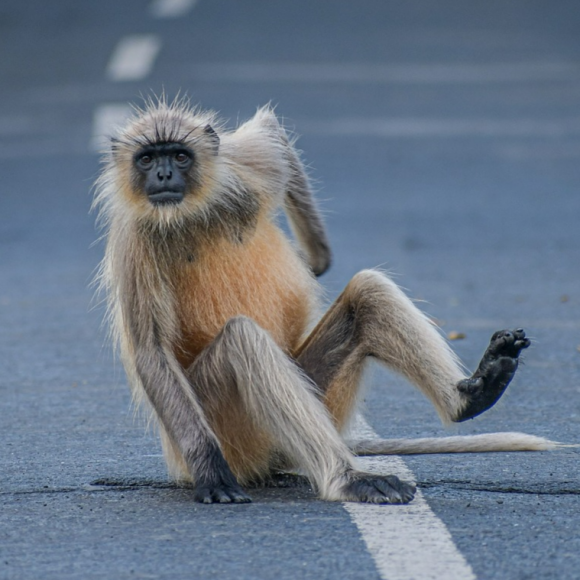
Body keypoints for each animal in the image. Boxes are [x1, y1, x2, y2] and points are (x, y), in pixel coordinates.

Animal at [94, 98, 560, 502]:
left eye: (179, 156)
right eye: (147, 159)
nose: (163, 176)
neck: (189, 215)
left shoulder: (241, 166)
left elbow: (273, 135)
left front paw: (315, 260)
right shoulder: (135, 237)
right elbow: (151, 350)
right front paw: (211, 471)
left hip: (316, 397)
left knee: (367, 293)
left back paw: (473, 395)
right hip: (227, 427)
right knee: (243, 340)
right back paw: (346, 478)